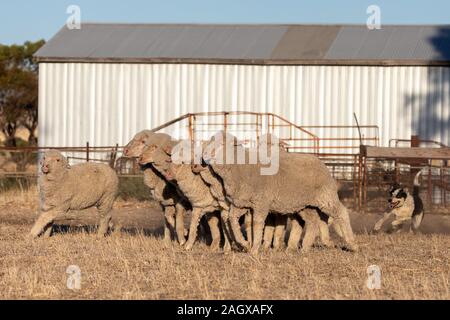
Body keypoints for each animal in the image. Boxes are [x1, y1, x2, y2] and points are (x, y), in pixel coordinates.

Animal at [202, 132, 356, 255]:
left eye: (222, 143)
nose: (204, 155)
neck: (239, 167)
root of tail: (321, 163)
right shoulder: (240, 203)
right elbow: (232, 220)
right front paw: (244, 244)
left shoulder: (261, 203)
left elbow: (257, 224)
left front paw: (254, 249)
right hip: (304, 204)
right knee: (312, 221)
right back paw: (304, 248)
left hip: (326, 196)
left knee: (341, 212)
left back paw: (352, 244)